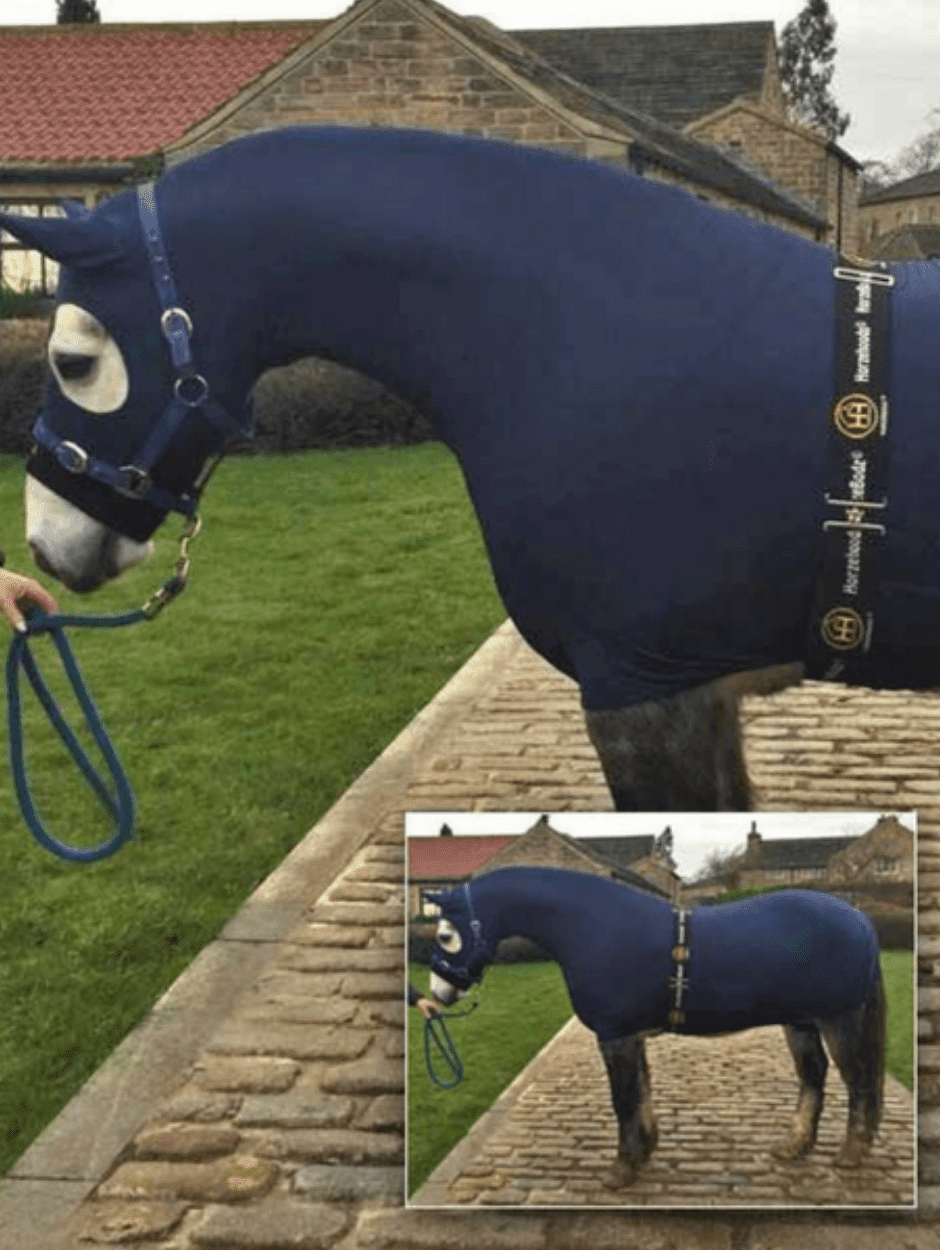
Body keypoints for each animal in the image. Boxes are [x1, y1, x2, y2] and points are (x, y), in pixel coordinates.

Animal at [426, 865, 885, 1185]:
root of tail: (859, 918)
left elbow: (624, 1099)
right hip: (800, 1022)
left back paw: (851, 1154)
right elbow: (642, 1090)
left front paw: (622, 1169)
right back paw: (796, 1147)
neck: (593, 925)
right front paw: (645, 1151)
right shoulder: (631, 1036)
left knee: (859, 1081)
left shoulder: (615, 1035)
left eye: (446, 935)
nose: (439, 993)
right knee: (814, 1077)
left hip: (839, 1019)